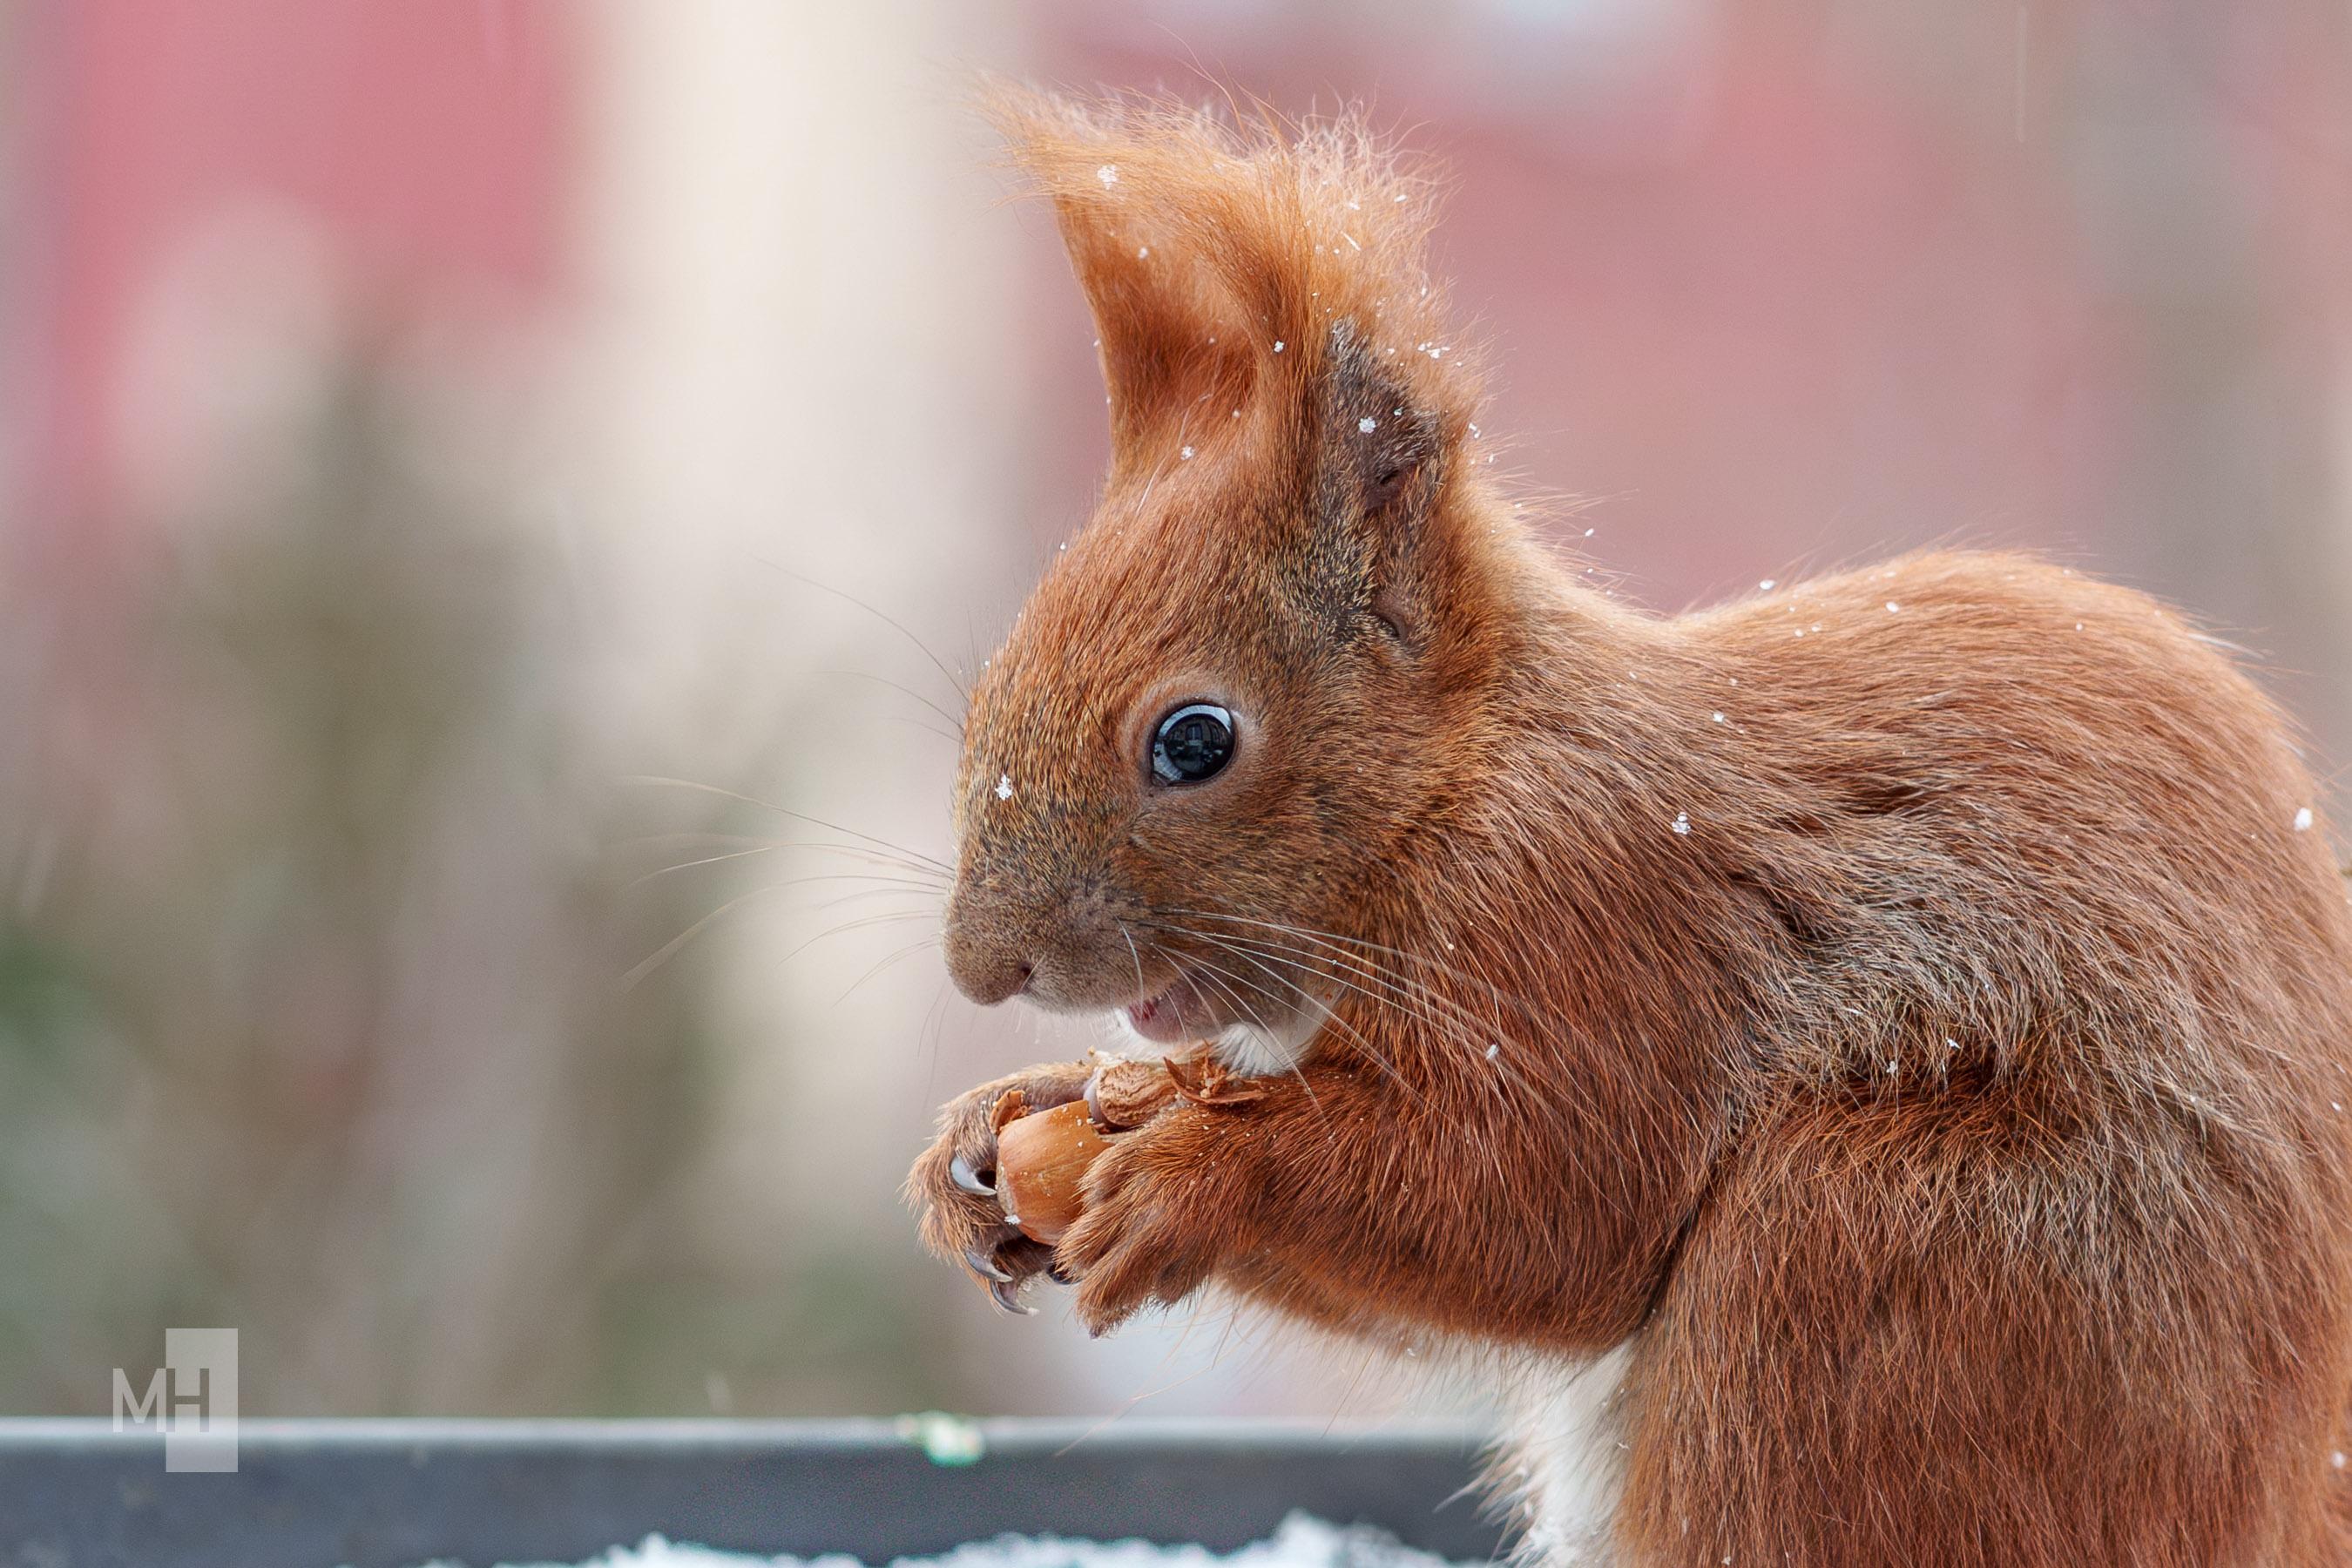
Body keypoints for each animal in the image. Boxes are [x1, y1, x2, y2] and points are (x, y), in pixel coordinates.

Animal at [906, 86, 2352, 1566]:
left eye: (1193, 741)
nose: (984, 967)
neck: (1457, 791)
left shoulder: (1598, 930)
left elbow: (1556, 1212)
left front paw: (1191, 1174)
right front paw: (998, 1125)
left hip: (1890, 1254)